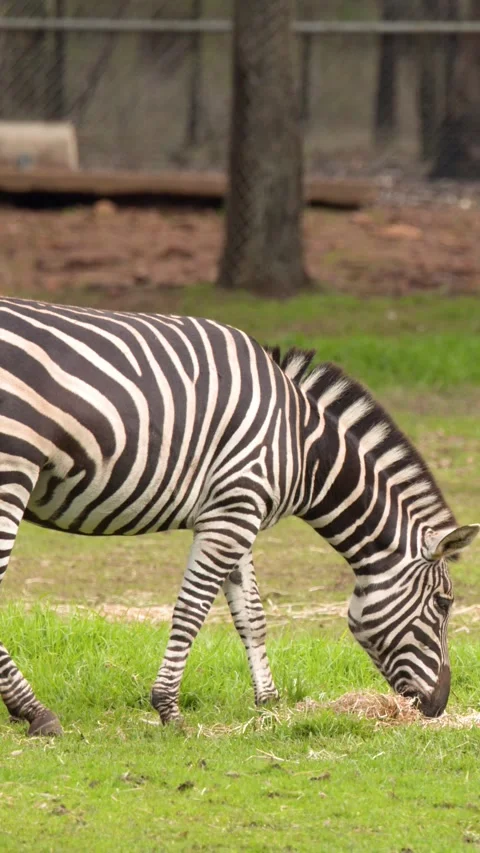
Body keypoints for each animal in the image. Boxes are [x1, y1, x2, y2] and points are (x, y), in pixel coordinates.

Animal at [0, 297, 477, 736]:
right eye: (443, 603)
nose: (438, 706)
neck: (302, 446)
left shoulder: (239, 511)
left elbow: (252, 615)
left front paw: (269, 702)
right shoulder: (234, 510)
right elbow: (192, 610)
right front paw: (169, 708)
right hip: (13, 468)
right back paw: (35, 711)